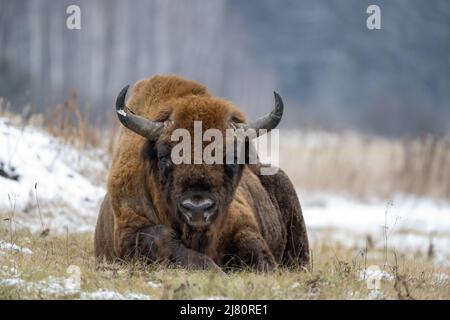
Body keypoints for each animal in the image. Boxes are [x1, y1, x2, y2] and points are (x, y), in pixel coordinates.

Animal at [95, 74, 310, 270]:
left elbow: (256, 251)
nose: (197, 209)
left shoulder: (243, 224)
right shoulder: (128, 232)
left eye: (232, 158)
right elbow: (164, 239)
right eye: (164, 157)